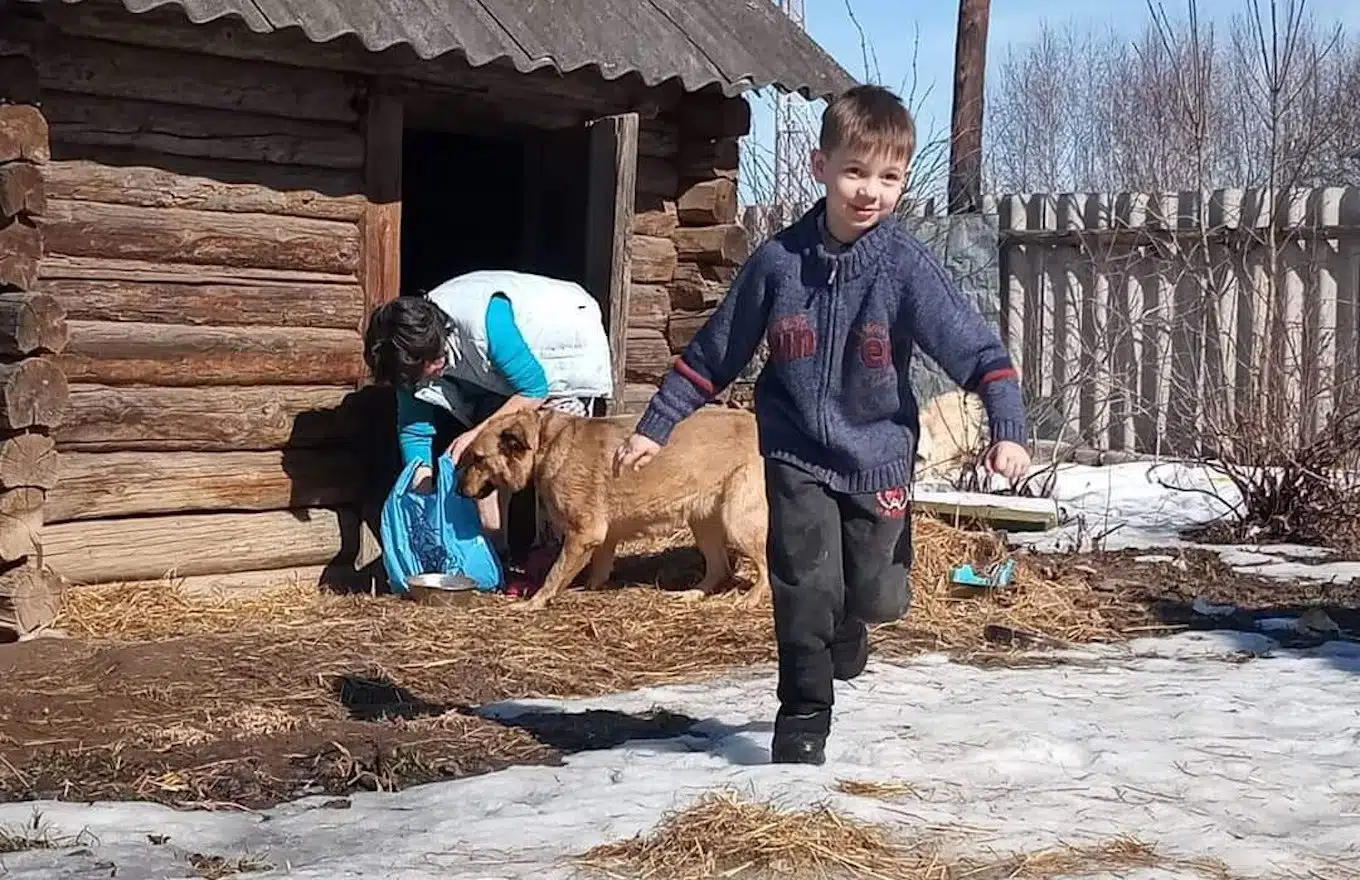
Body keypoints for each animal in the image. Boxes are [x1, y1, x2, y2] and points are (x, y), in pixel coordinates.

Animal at [456, 408, 772, 609]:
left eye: (478, 458)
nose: (458, 491)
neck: (546, 442)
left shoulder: (583, 534)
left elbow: (554, 574)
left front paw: (534, 602)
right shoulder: (602, 538)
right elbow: (598, 569)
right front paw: (590, 589)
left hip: (738, 521)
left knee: (765, 566)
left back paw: (751, 599)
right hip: (704, 524)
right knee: (719, 568)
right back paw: (692, 594)